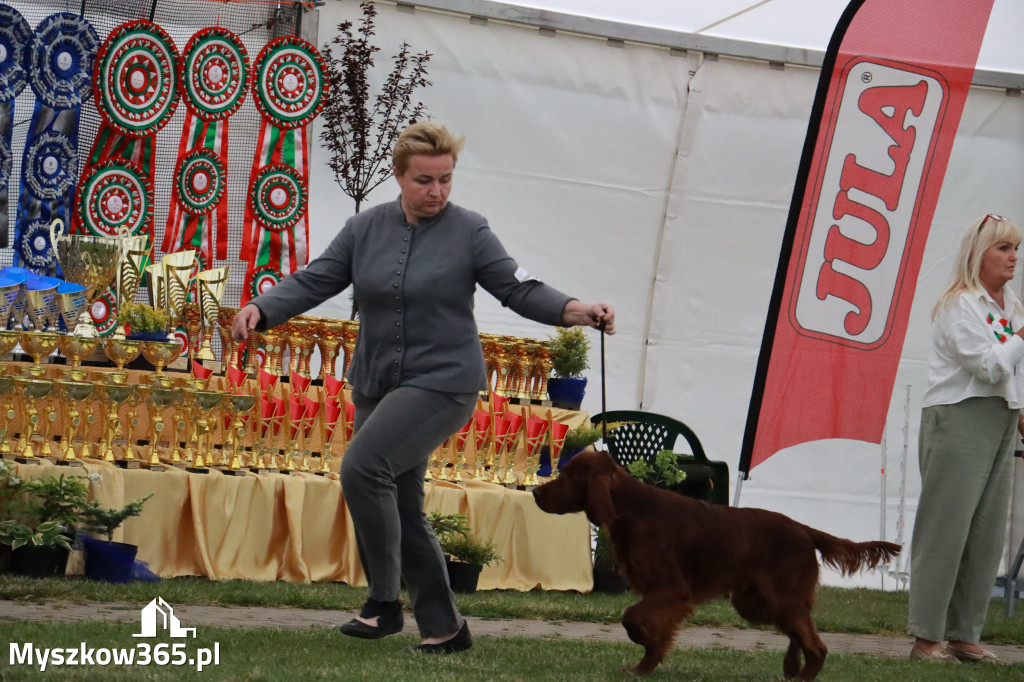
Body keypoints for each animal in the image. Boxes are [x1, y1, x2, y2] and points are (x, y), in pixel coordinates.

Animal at [532, 448, 901, 675]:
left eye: (568, 476)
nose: (535, 493)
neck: (632, 509)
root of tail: (805, 529)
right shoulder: (661, 594)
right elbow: (651, 631)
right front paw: (643, 667)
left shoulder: (673, 589)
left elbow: (632, 618)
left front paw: (645, 647)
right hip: (756, 603)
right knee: (801, 634)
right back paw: (791, 668)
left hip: (781, 598)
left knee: (817, 645)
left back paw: (800, 675)